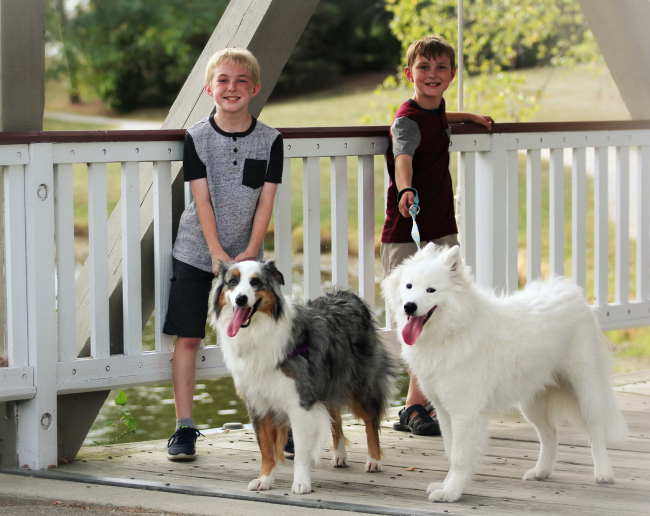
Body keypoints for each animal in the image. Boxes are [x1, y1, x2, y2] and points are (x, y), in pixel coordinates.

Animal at [382, 244, 624, 502]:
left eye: (431, 290)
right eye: (409, 286)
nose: (409, 306)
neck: (453, 330)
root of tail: (570, 291)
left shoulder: (464, 412)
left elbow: (459, 457)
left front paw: (451, 492)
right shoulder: (444, 411)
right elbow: (450, 450)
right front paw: (445, 486)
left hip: (585, 389)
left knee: (595, 430)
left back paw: (604, 474)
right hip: (532, 402)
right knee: (550, 435)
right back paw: (541, 472)